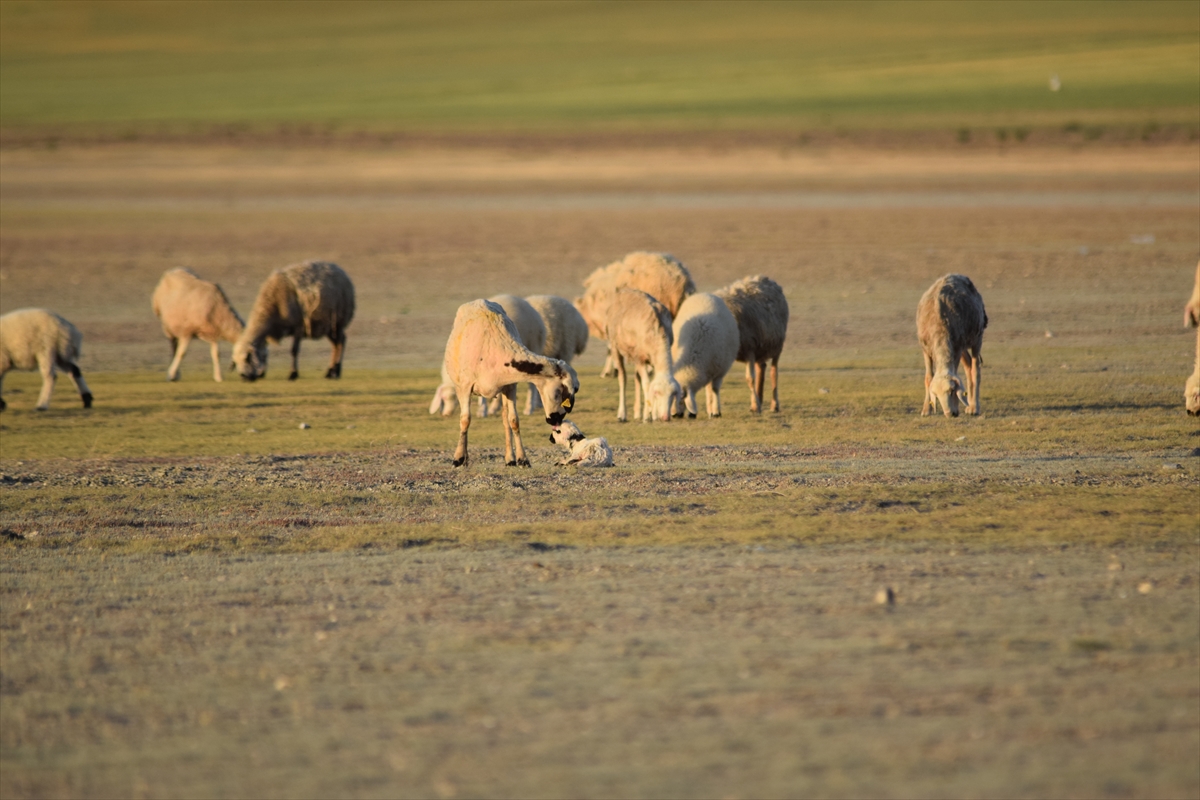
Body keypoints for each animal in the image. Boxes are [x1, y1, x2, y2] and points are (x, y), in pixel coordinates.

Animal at [444, 297, 578, 465]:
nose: (556, 420)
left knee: (505, 419)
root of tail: (480, 300)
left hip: (503, 391)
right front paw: (459, 458)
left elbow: (513, 421)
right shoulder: (464, 388)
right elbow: (465, 420)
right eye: (560, 392)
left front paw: (522, 459)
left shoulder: (510, 387)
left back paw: (510, 458)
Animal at [604, 287, 681, 424]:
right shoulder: (640, 358)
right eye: (657, 394)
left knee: (636, 378)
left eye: (673, 395)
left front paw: (648, 414)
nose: (665, 417)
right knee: (622, 378)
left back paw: (637, 413)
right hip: (615, 346)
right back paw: (622, 414)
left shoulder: (651, 360)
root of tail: (623, 290)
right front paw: (650, 416)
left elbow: (646, 382)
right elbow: (647, 385)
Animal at [715, 275, 792, 412]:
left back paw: (774, 404)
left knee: (774, 372)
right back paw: (759, 400)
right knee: (761, 367)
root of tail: (767, 279)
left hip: (777, 345)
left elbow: (750, 378)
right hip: (760, 348)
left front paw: (756, 406)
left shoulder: (749, 349)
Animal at [912, 273, 988, 417]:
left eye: (952, 391)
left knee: (975, 370)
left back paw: (974, 407)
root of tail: (956, 275)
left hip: (977, 337)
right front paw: (926, 410)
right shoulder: (926, 349)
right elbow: (928, 378)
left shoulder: (956, 349)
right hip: (962, 345)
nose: (950, 413)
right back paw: (969, 405)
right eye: (936, 395)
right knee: (968, 366)